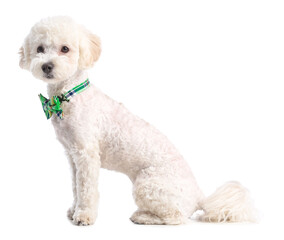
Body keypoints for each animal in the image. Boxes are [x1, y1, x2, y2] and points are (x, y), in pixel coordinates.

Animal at [18, 16, 256, 225]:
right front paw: (74, 210)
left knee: (176, 217)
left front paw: (84, 216)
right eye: (40, 49)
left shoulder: (87, 156)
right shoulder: (73, 155)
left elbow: (86, 189)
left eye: (65, 49)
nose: (47, 66)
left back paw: (143, 217)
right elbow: (76, 187)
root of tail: (200, 196)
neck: (69, 95)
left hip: (147, 185)